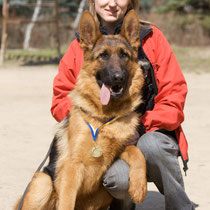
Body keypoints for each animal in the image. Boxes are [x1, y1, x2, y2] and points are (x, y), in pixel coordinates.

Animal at [15, 9, 146, 208]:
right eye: (103, 56)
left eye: (124, 55)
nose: (118, 77)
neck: (104, 117)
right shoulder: (71, 168)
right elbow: (66, 202)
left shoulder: (121, 149)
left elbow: (138, 153)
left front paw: (139, 187)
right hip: (43, 182)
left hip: (101, 195)